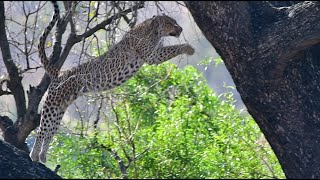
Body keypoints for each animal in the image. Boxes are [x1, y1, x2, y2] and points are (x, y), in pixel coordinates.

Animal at [30, 0, 195, 163]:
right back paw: (34, 155)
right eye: (171, 23)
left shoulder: (154, 53)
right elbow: (172, 48)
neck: (154, 30)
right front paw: (188, 48)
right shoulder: (151, 56)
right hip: (52, 104)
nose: (180, 28)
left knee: (50, 131)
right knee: (42, 130)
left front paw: (188, 48)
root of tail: (59, 73)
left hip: (60, 108)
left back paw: (42, 157)